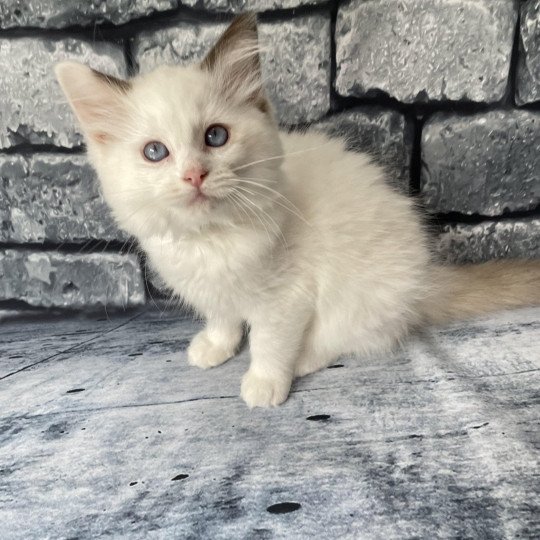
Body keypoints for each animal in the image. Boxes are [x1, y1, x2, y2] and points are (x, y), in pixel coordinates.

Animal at [56, 14, 540, 408]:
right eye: (155, 152)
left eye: (216, 137)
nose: (194, 175)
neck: (213, 237)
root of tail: (425, 283)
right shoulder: (215, 289)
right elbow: (223, 317)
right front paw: (215, 347)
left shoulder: (285, 298)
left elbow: (270, 344)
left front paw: (264, 385)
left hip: (363, 292)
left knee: (354, 337)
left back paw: (303, 360)